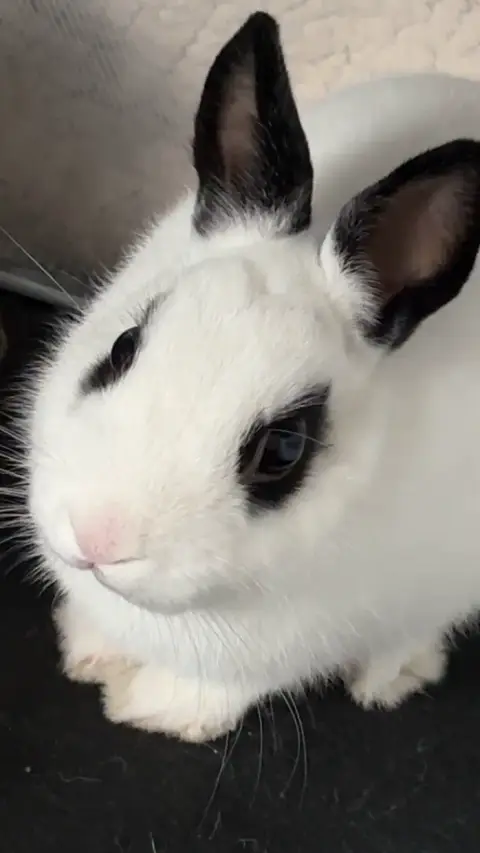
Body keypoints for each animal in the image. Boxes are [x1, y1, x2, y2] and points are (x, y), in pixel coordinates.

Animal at [23, 11, 480, 742]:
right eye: (122, 348)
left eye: (283, 449)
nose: (98, 538)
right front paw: (86, 649)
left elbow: (222, 687)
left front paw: (151, 706)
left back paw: (391, 675)